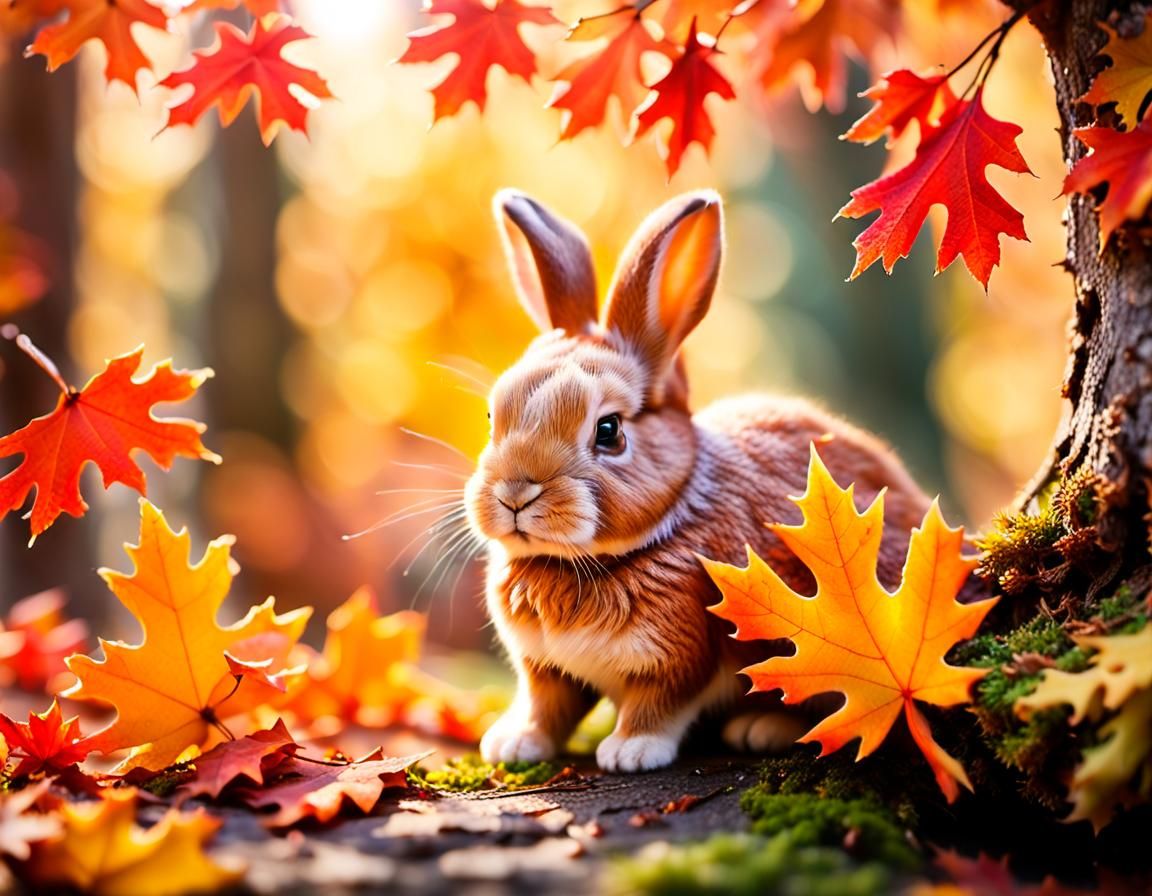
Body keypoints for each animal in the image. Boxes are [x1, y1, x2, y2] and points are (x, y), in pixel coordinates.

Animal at [465, 189, 932, 773]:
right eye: (491, 418)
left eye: (609, 431)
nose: (515, 494)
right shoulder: (547, 668)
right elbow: (546, 706)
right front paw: (514, 744)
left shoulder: (682, 653)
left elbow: (660, 703)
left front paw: (630, 751)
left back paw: (762, 729)